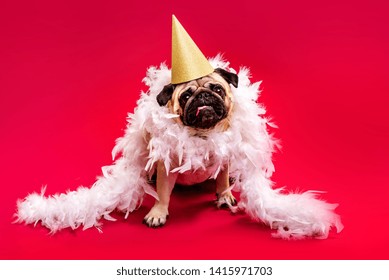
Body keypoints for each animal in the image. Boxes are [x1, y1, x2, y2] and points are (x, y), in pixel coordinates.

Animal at [142, 68, 238, 228]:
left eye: (218, 89)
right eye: (185, 96)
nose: (203, 95)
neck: (202, 135)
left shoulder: (223, 159)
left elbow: (222, 180)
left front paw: (224, 195)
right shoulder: (166, 169)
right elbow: (162, 193)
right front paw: (157, 213)